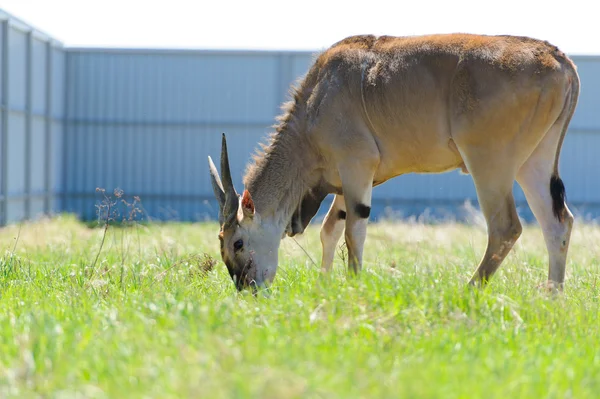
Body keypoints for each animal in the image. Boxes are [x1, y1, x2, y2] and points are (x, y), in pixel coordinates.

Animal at [206, 32, 576, 294]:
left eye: (237, 242)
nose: (248, 289)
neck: (317, 99)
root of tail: (557, 58)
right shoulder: (349, 180)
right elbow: (330, 228)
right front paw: (324, 285)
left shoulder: (357, 166)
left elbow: (353, 231)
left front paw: (352, 286)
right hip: (533, 164)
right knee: (557, 223)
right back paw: (553, 297)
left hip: (489, 163)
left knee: (505, 227)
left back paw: (468, 292)